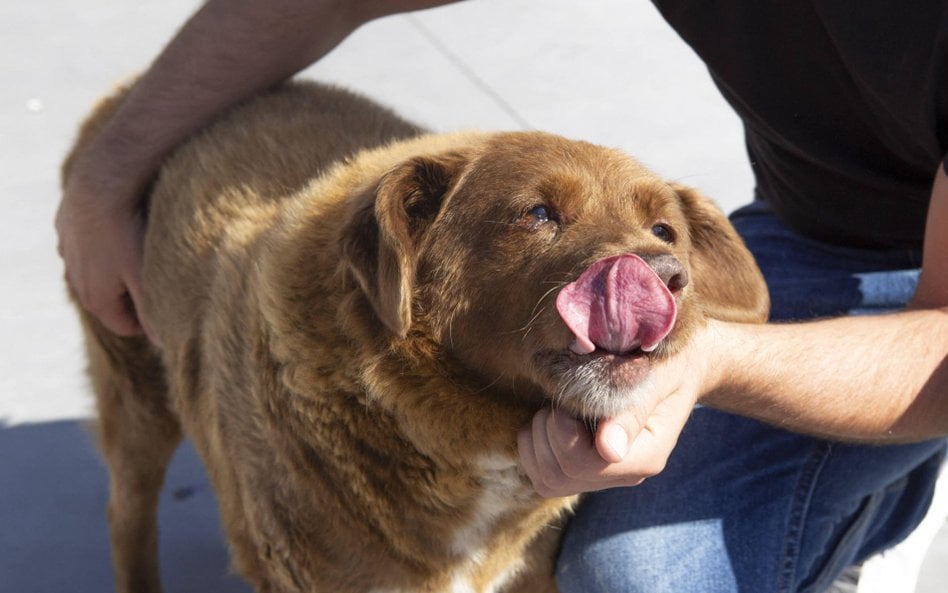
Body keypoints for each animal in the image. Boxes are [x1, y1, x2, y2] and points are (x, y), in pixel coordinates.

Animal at [61, 80, 772, 592]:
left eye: (664, 230)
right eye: (539, 213)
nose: (667, 277)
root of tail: (126, 92)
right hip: (135, 395)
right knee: (127, 513)